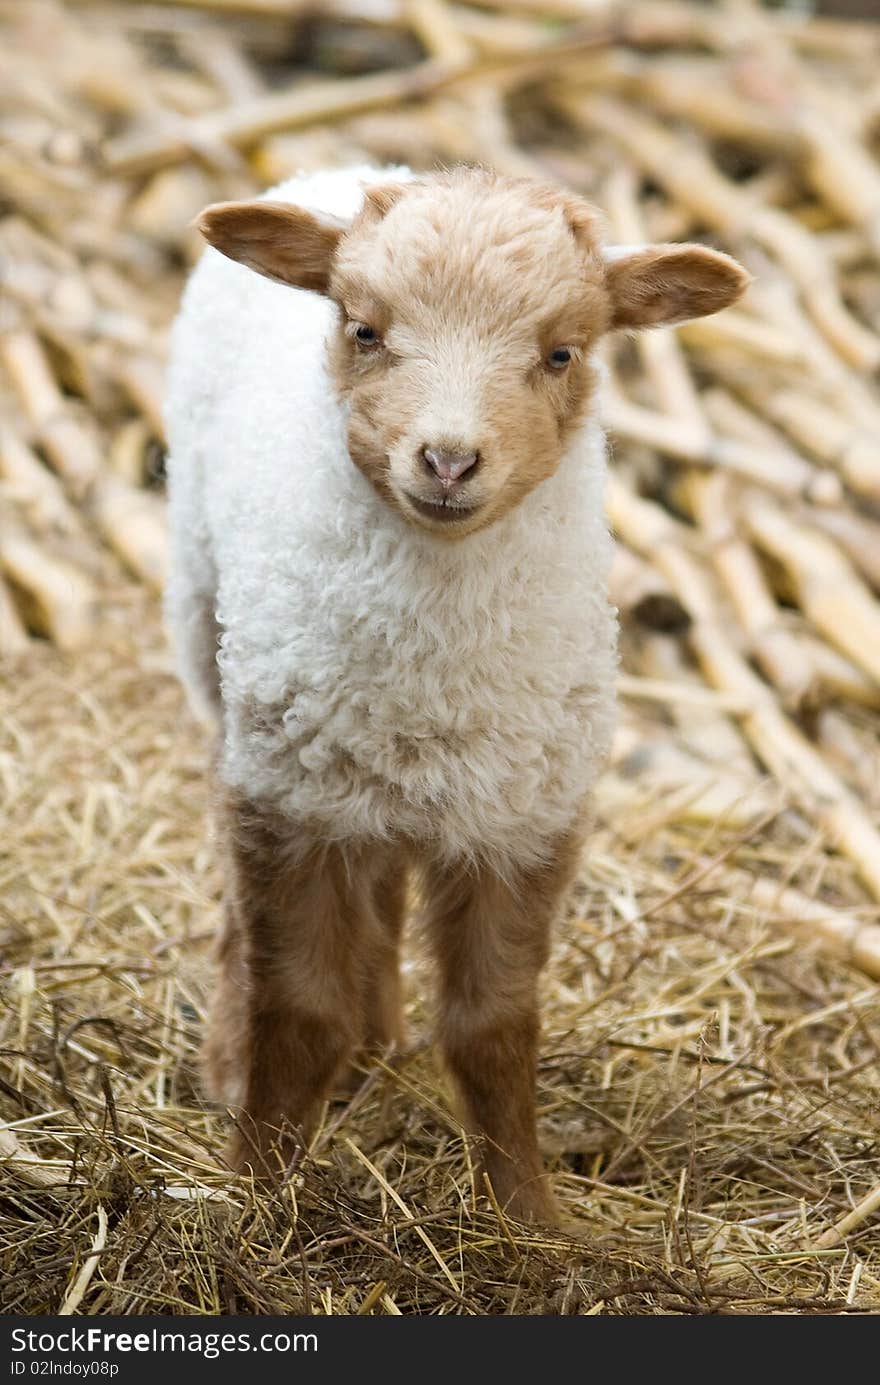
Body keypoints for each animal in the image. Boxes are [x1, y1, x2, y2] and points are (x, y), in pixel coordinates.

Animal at [163, 164, 742, 1224]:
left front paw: (529, 1217)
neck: (435, 666)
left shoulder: (527, 818)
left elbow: (493, 1028)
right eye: (363, 329)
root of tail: (340, 166)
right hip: (216, 651)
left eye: (562, 352)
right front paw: (258, 1188)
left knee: (387, 878)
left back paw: (380, 1036)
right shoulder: (292, 802)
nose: (447, 459)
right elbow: (296, 1008)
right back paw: (237, 1058)